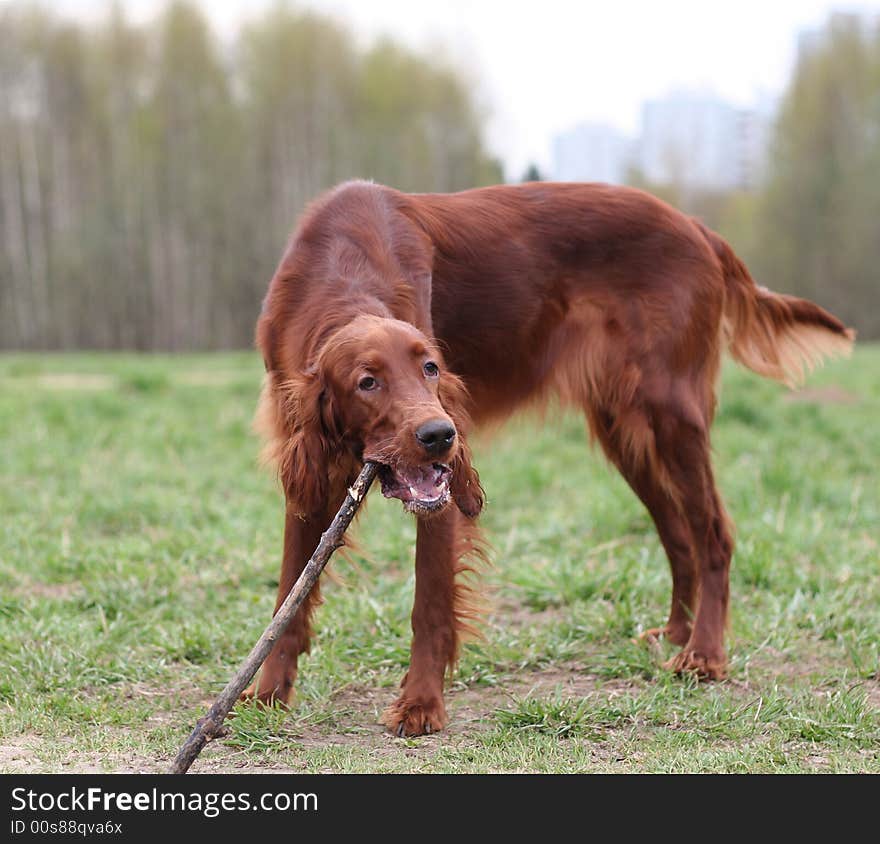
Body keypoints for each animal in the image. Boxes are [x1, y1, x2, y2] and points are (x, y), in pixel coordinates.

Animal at [244, 181, 856, 736]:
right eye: (367, 382)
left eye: (430, 368)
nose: (441, 435)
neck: (340, 274)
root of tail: (697, 228)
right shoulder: (307, 475)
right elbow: (289, 594)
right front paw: (267, 692)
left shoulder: (439, 496)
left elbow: (429, 604)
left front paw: (420, 705)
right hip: (626, 434)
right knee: (678, 535)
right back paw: (676, 634)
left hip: (672, 416)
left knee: (713, 535)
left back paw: (703, 655)